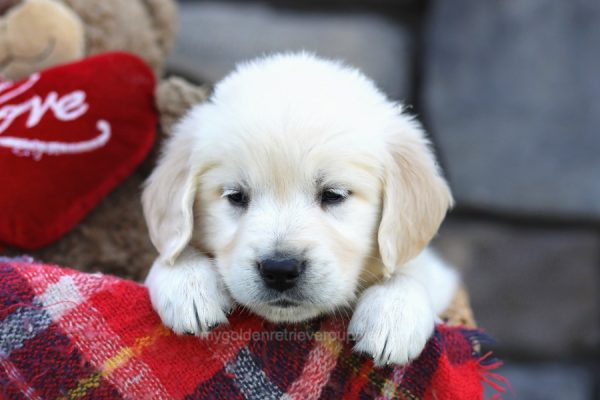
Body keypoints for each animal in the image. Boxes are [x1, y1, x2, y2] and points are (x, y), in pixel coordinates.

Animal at [143, 53, 458, 366]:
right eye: (236, 196)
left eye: (333, 195)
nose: (279, 269)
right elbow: (171, 254)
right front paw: (187, 282)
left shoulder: (440, 276)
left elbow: (411, 269)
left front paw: (394, 311)